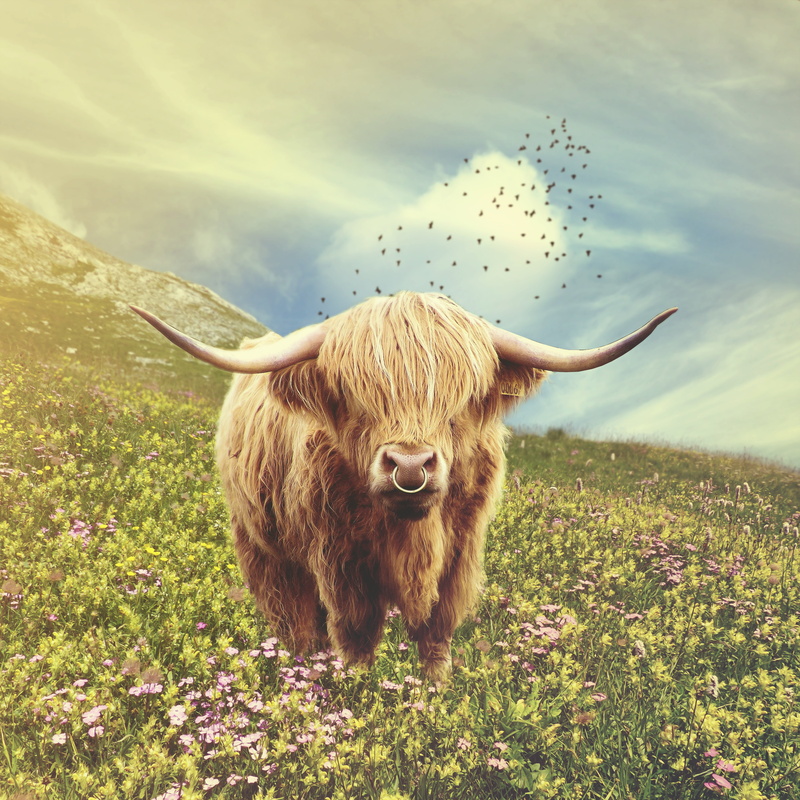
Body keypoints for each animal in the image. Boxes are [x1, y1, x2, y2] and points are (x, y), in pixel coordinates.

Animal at [132, 291, 675, 680]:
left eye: (463, 398)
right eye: (353, 395)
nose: (410, 467)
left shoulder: (458, 558)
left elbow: (436, 636)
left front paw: (436, 699)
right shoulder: (340, 562)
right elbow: (355, 640)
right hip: (265, 550)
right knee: (298, 625)